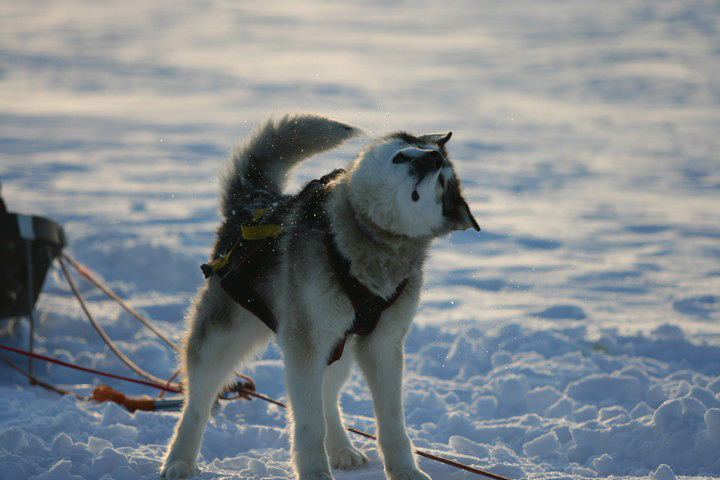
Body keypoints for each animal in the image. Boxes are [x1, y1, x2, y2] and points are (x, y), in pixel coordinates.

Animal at [160, 113, 480, 480]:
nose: (433, 158)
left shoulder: (383, 345)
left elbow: (392, 424)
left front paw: (405, 471)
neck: (369, 236)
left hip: (337, 348)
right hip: (224, 339)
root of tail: (257, 202)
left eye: (442, 181)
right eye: (411, 151)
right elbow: (310, 425)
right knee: (197, 402)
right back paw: (179, 460)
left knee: (328, 397)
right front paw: (315, 471)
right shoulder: (306, 344)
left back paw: (341, 448)